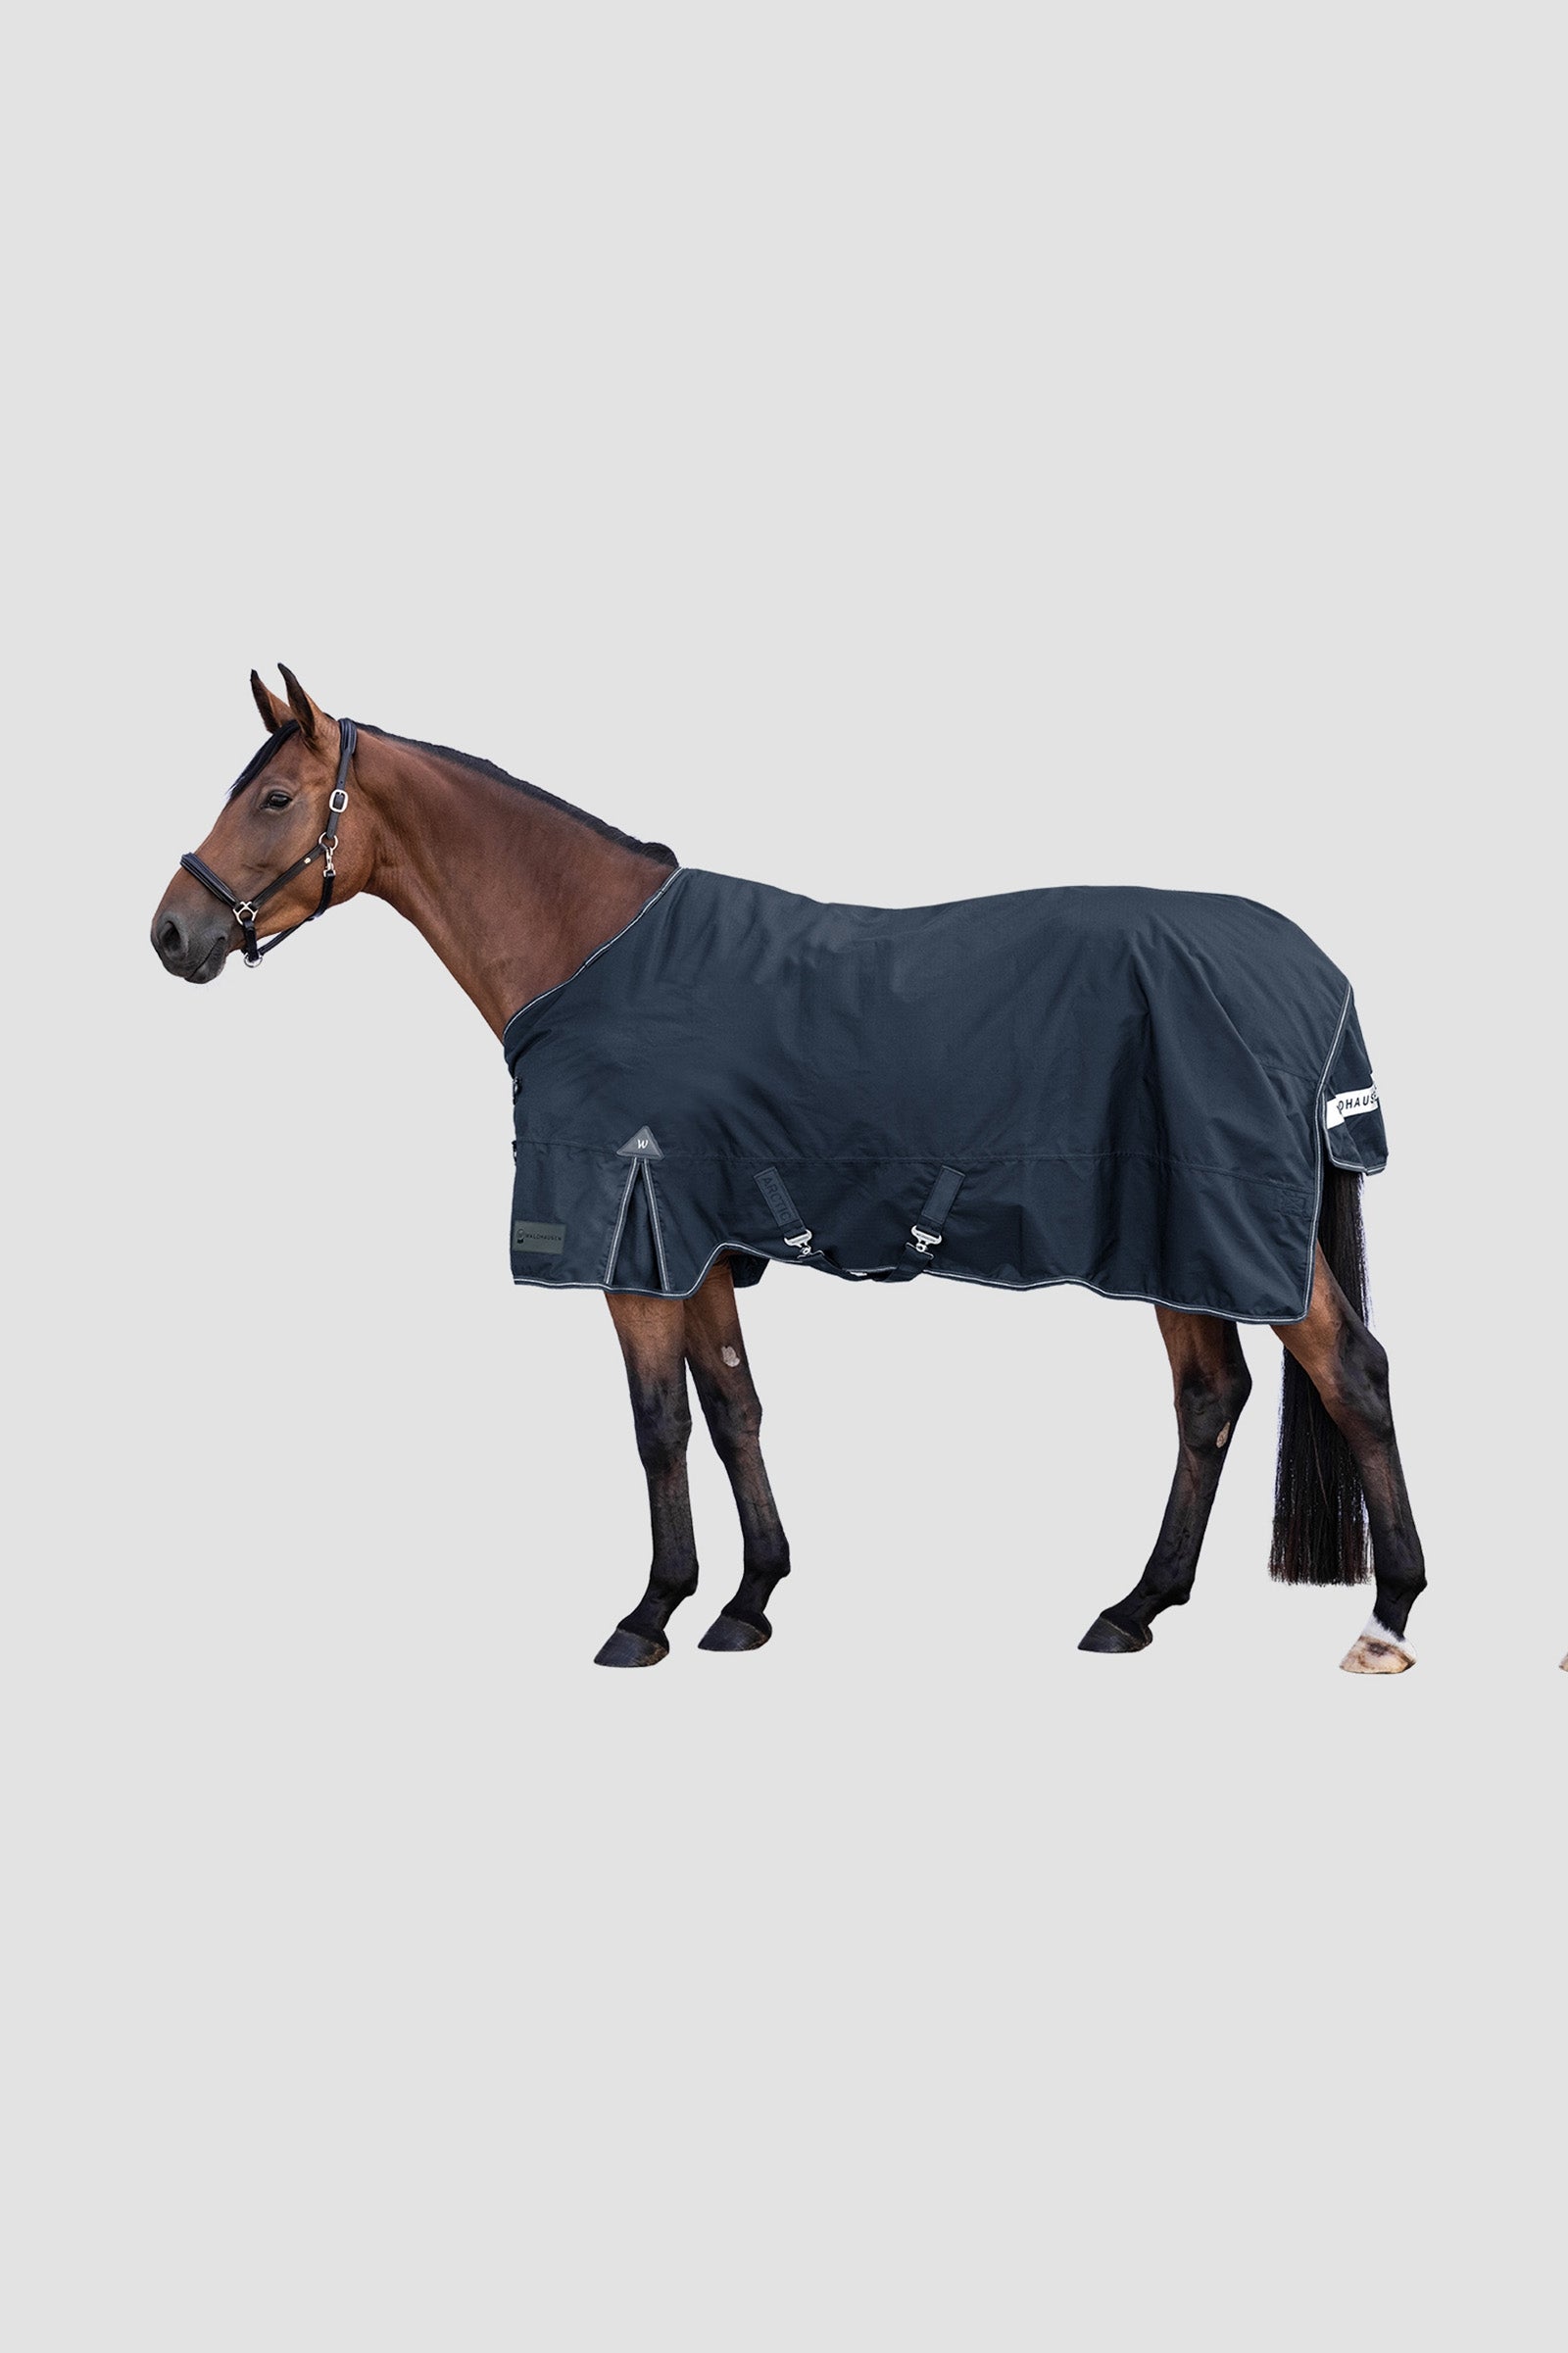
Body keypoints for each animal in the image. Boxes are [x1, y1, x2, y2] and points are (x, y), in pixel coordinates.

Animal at [151, 667, 1428, 1676]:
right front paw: (748, 1601)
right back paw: (1134, 1607)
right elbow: (733, 1408)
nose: (171, 934)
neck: (593, 951)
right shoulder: (700, 1245)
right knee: (1210, 1399)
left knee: (1349, 1373)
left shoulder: (635, 1245)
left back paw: (1389, 1613)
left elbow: (659, 1424)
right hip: (1171, 1236)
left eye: (273, 798)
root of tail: (1311, 969)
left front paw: (649, 1613)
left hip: (1222, 1228)